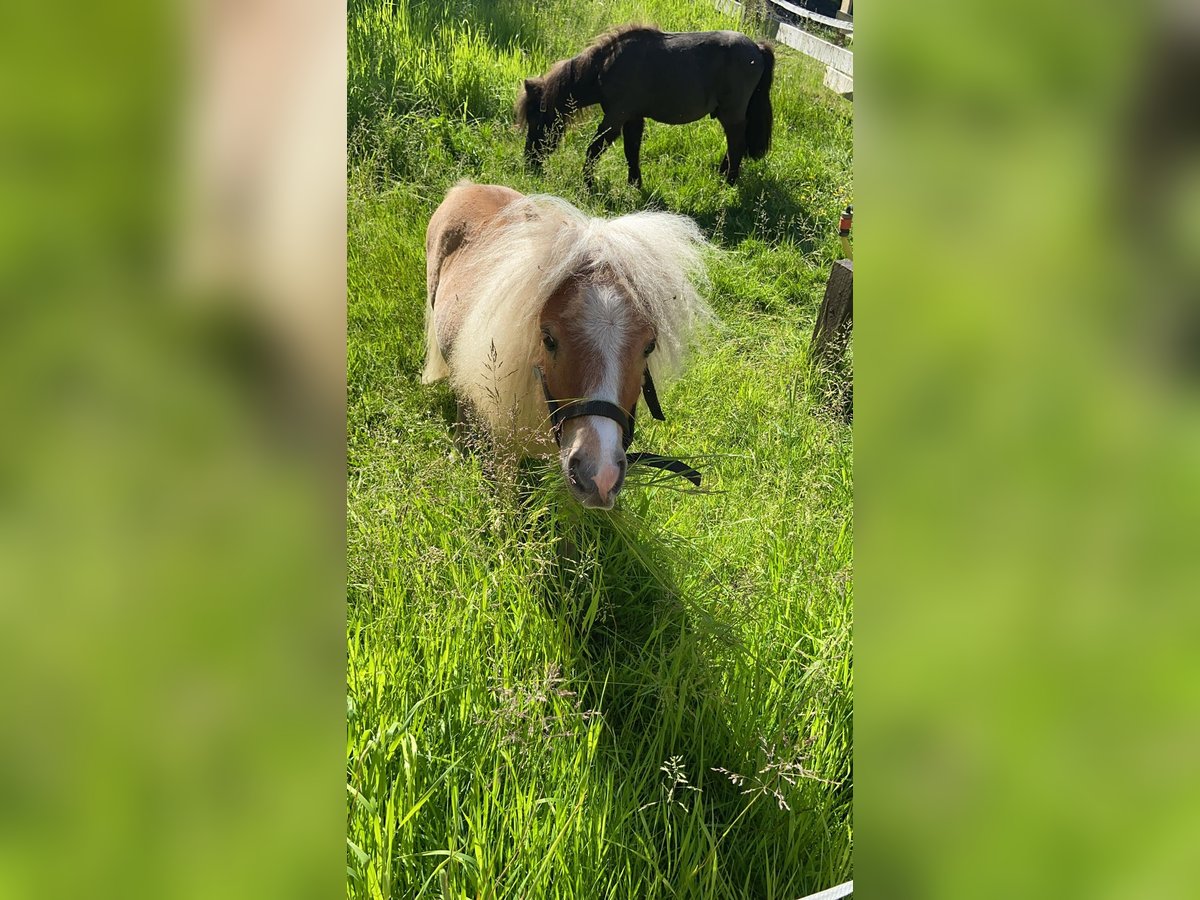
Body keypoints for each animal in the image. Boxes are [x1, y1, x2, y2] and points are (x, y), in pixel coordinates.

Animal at [424, 180, 710, 511]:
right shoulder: (505, 448)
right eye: (549, 339)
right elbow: (507, 510)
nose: (600, 475)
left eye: (649, 346)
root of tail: (468, 186)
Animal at [518, 26, 777, 188]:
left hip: (731, 114)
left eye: (537, 120)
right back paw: (724, 174)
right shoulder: (633, 117)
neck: (606, 66)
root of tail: (757, 49)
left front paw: (588, 184)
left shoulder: (616, 116)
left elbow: (595, 149)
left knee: (736, 145)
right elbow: (631, 150)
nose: (530, 162)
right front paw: (635, 183)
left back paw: (727, 183)